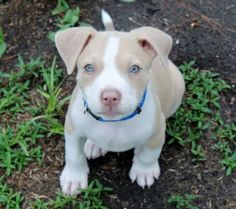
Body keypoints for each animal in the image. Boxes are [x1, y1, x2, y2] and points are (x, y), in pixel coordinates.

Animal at [54, 10, 184, 194]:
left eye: (134, 69)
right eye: (89, 68)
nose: (110, 96)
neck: (113, 123)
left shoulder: (157, 132)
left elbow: (149, 155)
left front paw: (144, 171)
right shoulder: (72, 129)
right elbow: (73, 155)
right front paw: (74, 178)